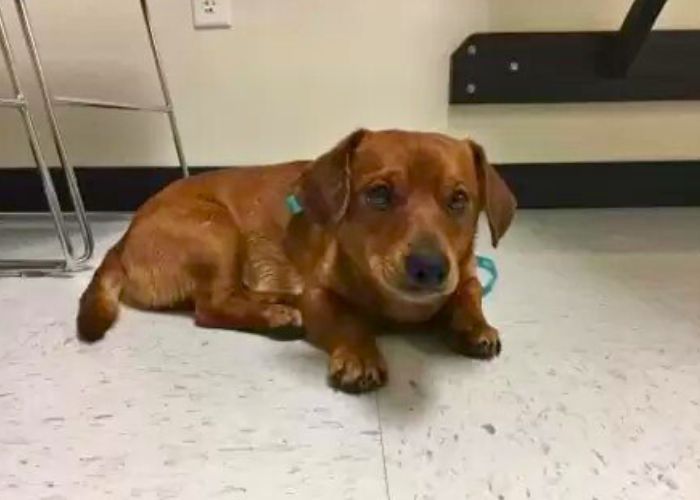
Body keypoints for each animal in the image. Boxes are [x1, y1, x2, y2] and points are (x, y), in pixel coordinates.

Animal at [78, 130, 516, 394]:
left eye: (459, 199)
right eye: (378, 194)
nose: (429, 267)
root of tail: (124, 237)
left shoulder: (466, 276)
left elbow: (468, 296)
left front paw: (474, 326)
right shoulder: (320, 295)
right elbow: (350, 322)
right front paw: (360, 355)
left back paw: (275, 303)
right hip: (216, 230)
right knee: (210, 306)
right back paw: (276, 316)